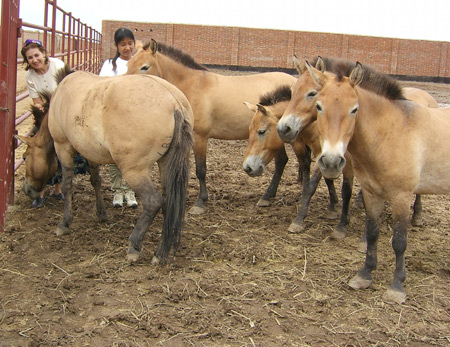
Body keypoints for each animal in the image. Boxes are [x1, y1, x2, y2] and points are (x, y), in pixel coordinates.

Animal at [125, 40, 298, 215]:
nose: (127, 85)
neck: (194, 86)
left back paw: (267, 196)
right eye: (128, 63)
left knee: (281, 162)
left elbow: (201, 170)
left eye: (144, 67)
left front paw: (200, 202)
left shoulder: (200, 137)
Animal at [243, 84, 356, 237]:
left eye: (261, 131)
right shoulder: (325, 159)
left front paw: (299, 219)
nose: (247, 167)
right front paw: (332, 207)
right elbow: (326, 179)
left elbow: (314, 185)